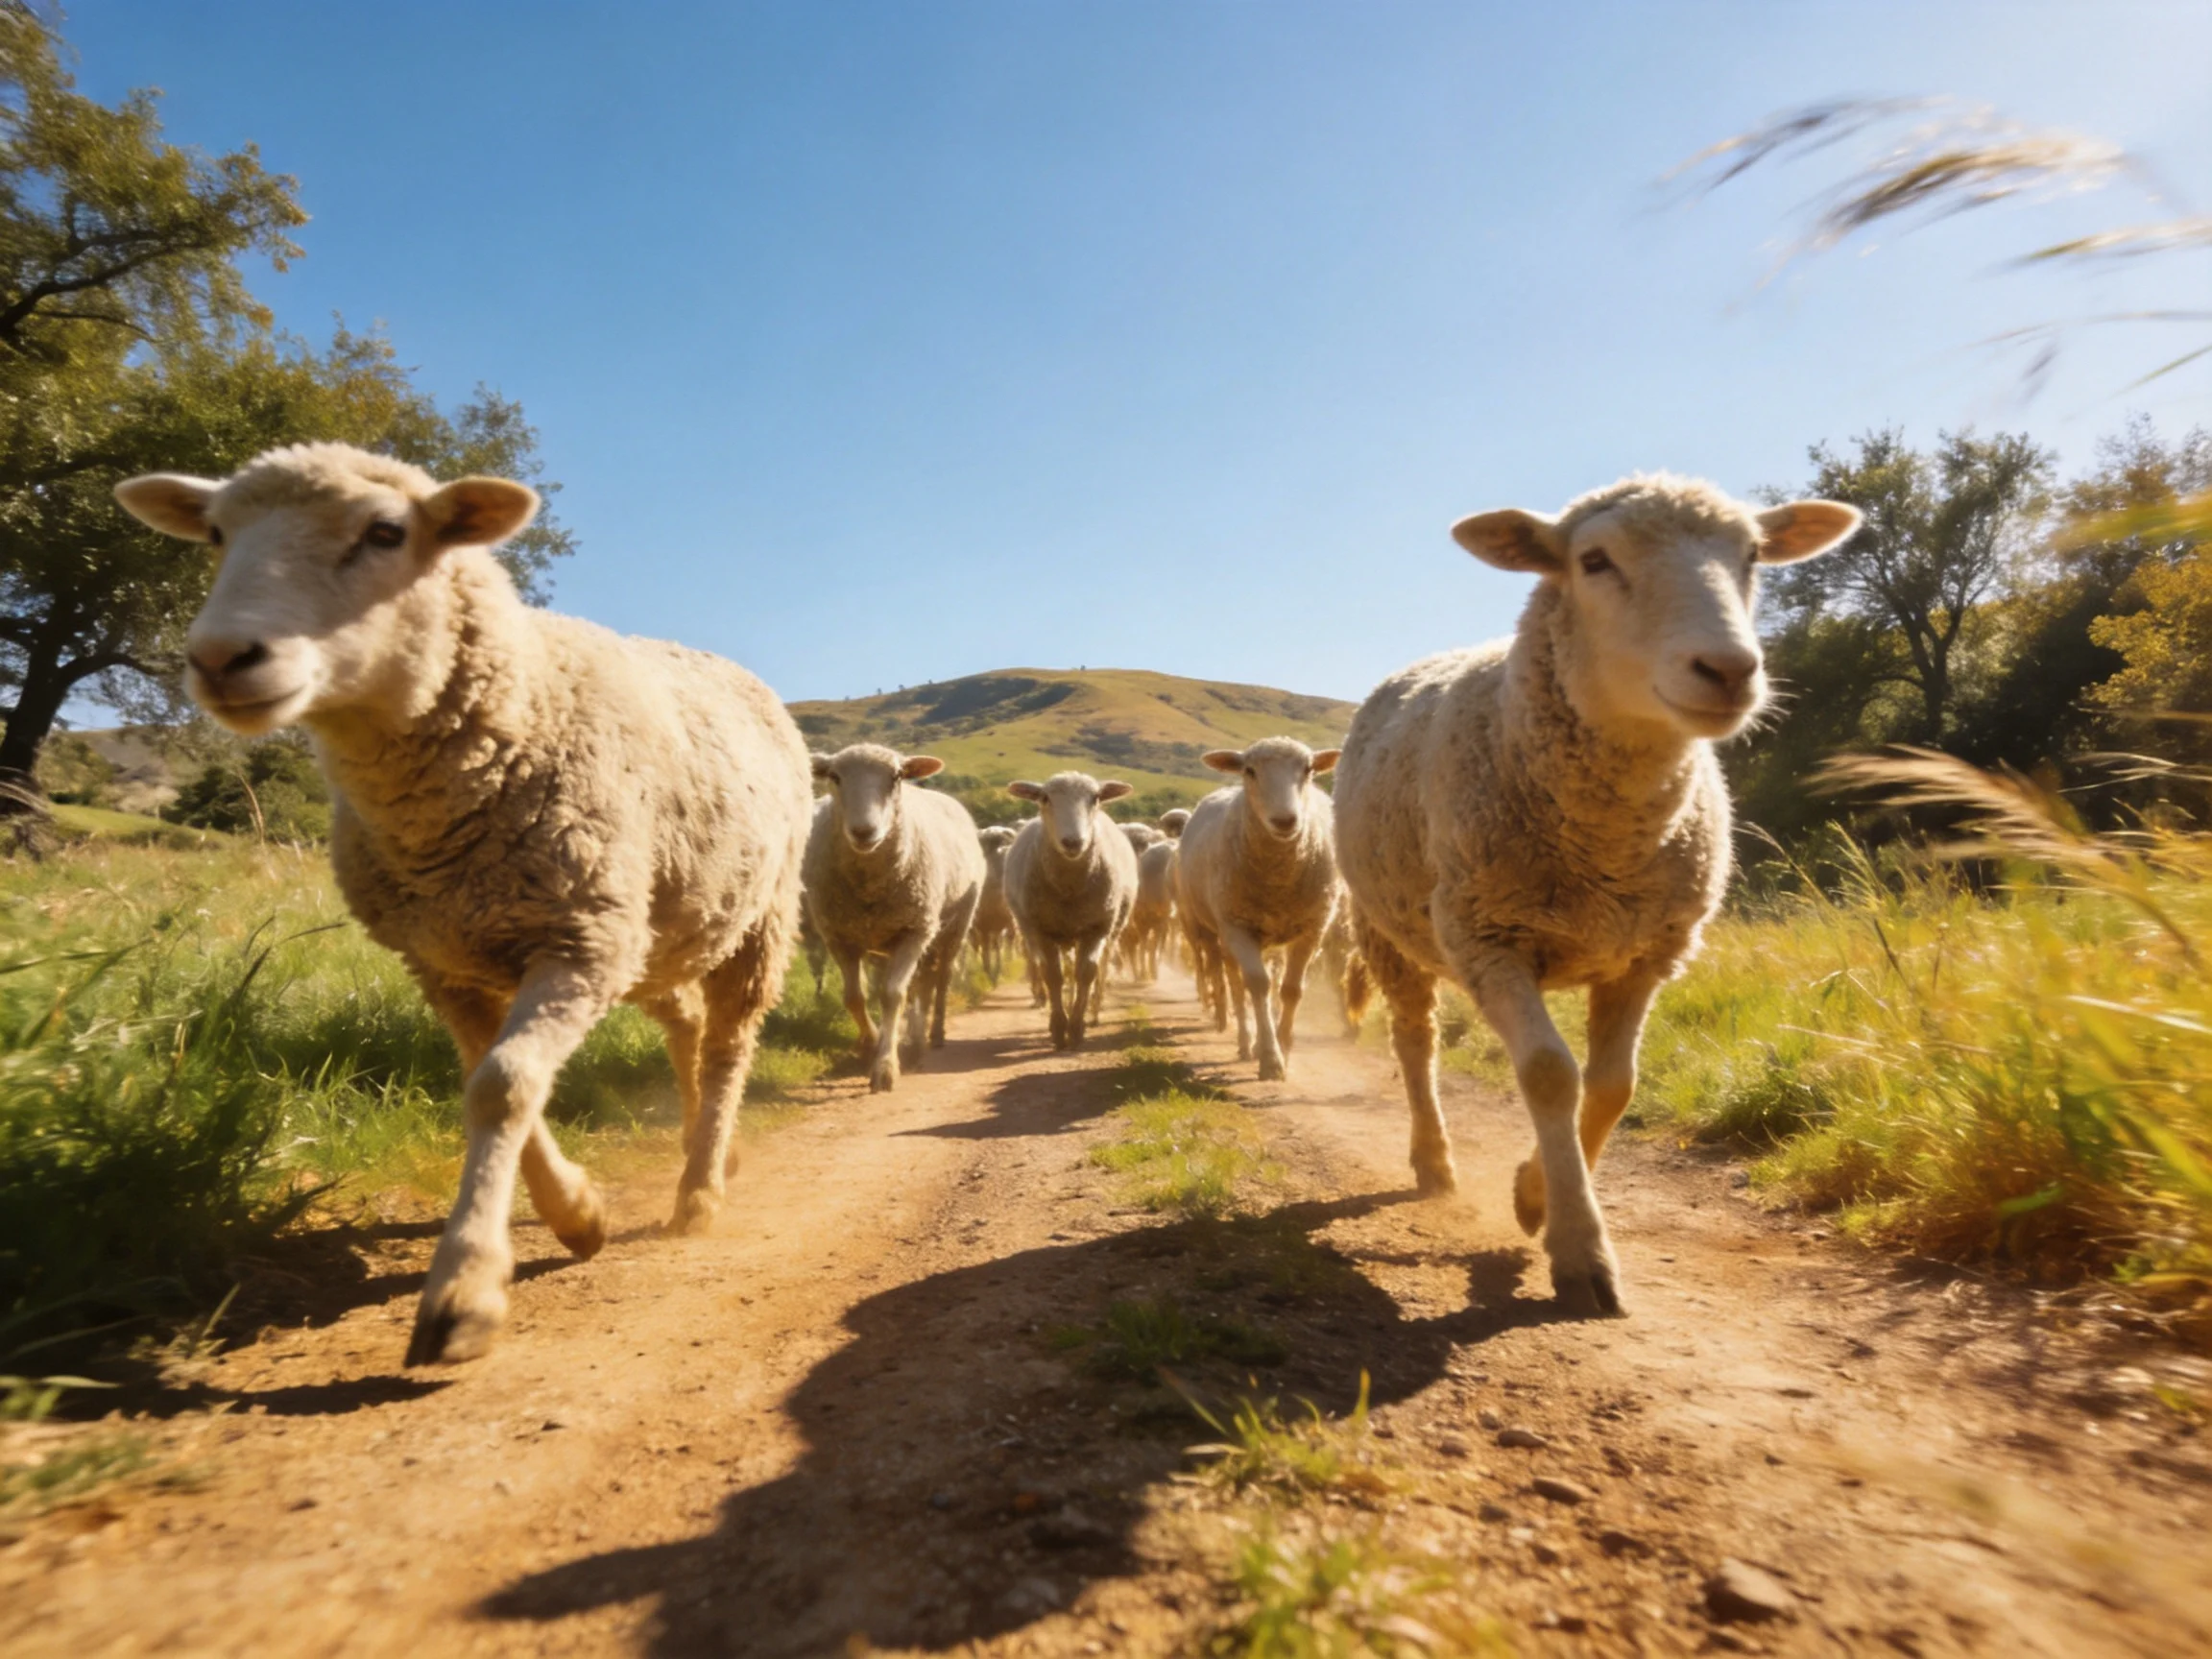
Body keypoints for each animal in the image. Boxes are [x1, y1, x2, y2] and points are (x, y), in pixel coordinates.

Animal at [115, 442, 814, 1366]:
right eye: (217, 535)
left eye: (385, 532)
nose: (221, 659)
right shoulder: (443, 959)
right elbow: (490, 1084)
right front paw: (577, 1215)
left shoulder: (578, 941)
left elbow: (504, 1088)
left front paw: (466, 1288)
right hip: (661, 930)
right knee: (689, 1032)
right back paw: (711, 1150)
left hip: (755, 919)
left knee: (731, 1042)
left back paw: (700, 1191)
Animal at [804, 745, 986, 1092]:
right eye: (835, 776)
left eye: (897, 776)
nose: (864, 831)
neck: (868, 886)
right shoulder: (838, 936)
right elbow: (854, 997)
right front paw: (870, 1044)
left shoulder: (913, 931)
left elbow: (892, 995)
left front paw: (886, 1067)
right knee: (919, 984)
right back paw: (914, 1038)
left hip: (952, 927)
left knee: (941, 979)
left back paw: (934, 1033)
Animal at [1002, 772, 1138, 1047]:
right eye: (1045, 798)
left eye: (1095, 798)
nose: (1073, 842)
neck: (1069, 890)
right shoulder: (1041, 930)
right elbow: (1053, 975)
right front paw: (1058, 1027)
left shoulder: (1097, 927)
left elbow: (1086, 973)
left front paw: (1077, 1027)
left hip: (1111, 928)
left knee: (1101, 966)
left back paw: (1094, 1010)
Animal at [1174, 738, 1342, 1080]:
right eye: (1250, 771)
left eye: (1308, 770)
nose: (1285, 821)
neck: (1278, 880)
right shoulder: (1237, 927)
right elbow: (1258, 986)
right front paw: (1270, 1058)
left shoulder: (1313, 928)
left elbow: (1291, 989)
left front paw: (1284, 1046)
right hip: (1212, 929)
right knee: (1232, 982)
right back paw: (1243, 1038)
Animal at [1332, 474, 1859, 1315]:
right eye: (1595, 560)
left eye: (1752, 555)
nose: (1728, 670)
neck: (1604, 844)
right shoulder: (1489, 940)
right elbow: (1551, 1075)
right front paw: (1579, 1251)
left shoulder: (1649, 954)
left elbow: (1612, 1087)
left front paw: (1534, 1196)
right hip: (1391, 931)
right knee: (1415, 1043)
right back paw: (1434, 1160)